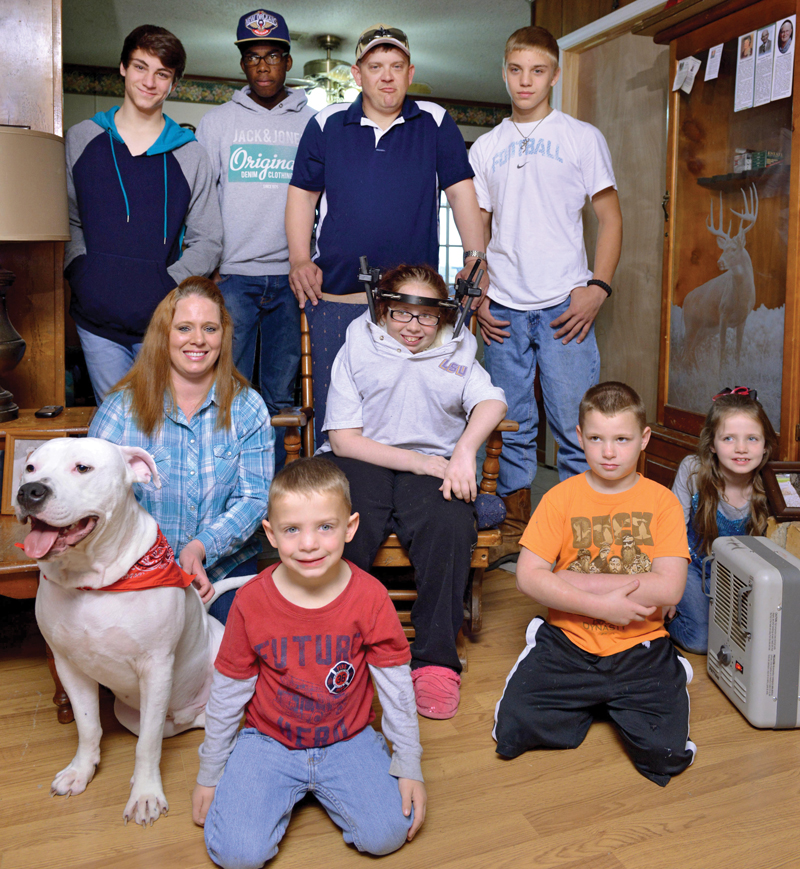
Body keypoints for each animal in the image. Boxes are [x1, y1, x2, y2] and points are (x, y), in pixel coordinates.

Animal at [16, 438, 241, 824]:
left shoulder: (156, 668)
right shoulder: (67, 665)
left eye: (82, 468)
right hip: (132, 713)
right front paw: (81, 770)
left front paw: (146, 794)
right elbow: (89, 726)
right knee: (173, 725)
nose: (29, 491)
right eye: (31, 468)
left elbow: (147, 744)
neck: (92, 583)